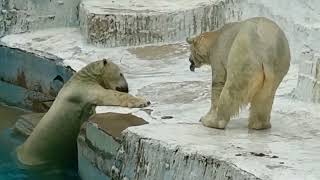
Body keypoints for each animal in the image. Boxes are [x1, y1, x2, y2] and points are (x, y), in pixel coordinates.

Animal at [17, 59, 151, 166]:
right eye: (121, 73)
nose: (126, 88)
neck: (83, 76)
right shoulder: (84, 89)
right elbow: (108, 95)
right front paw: (143, 101)